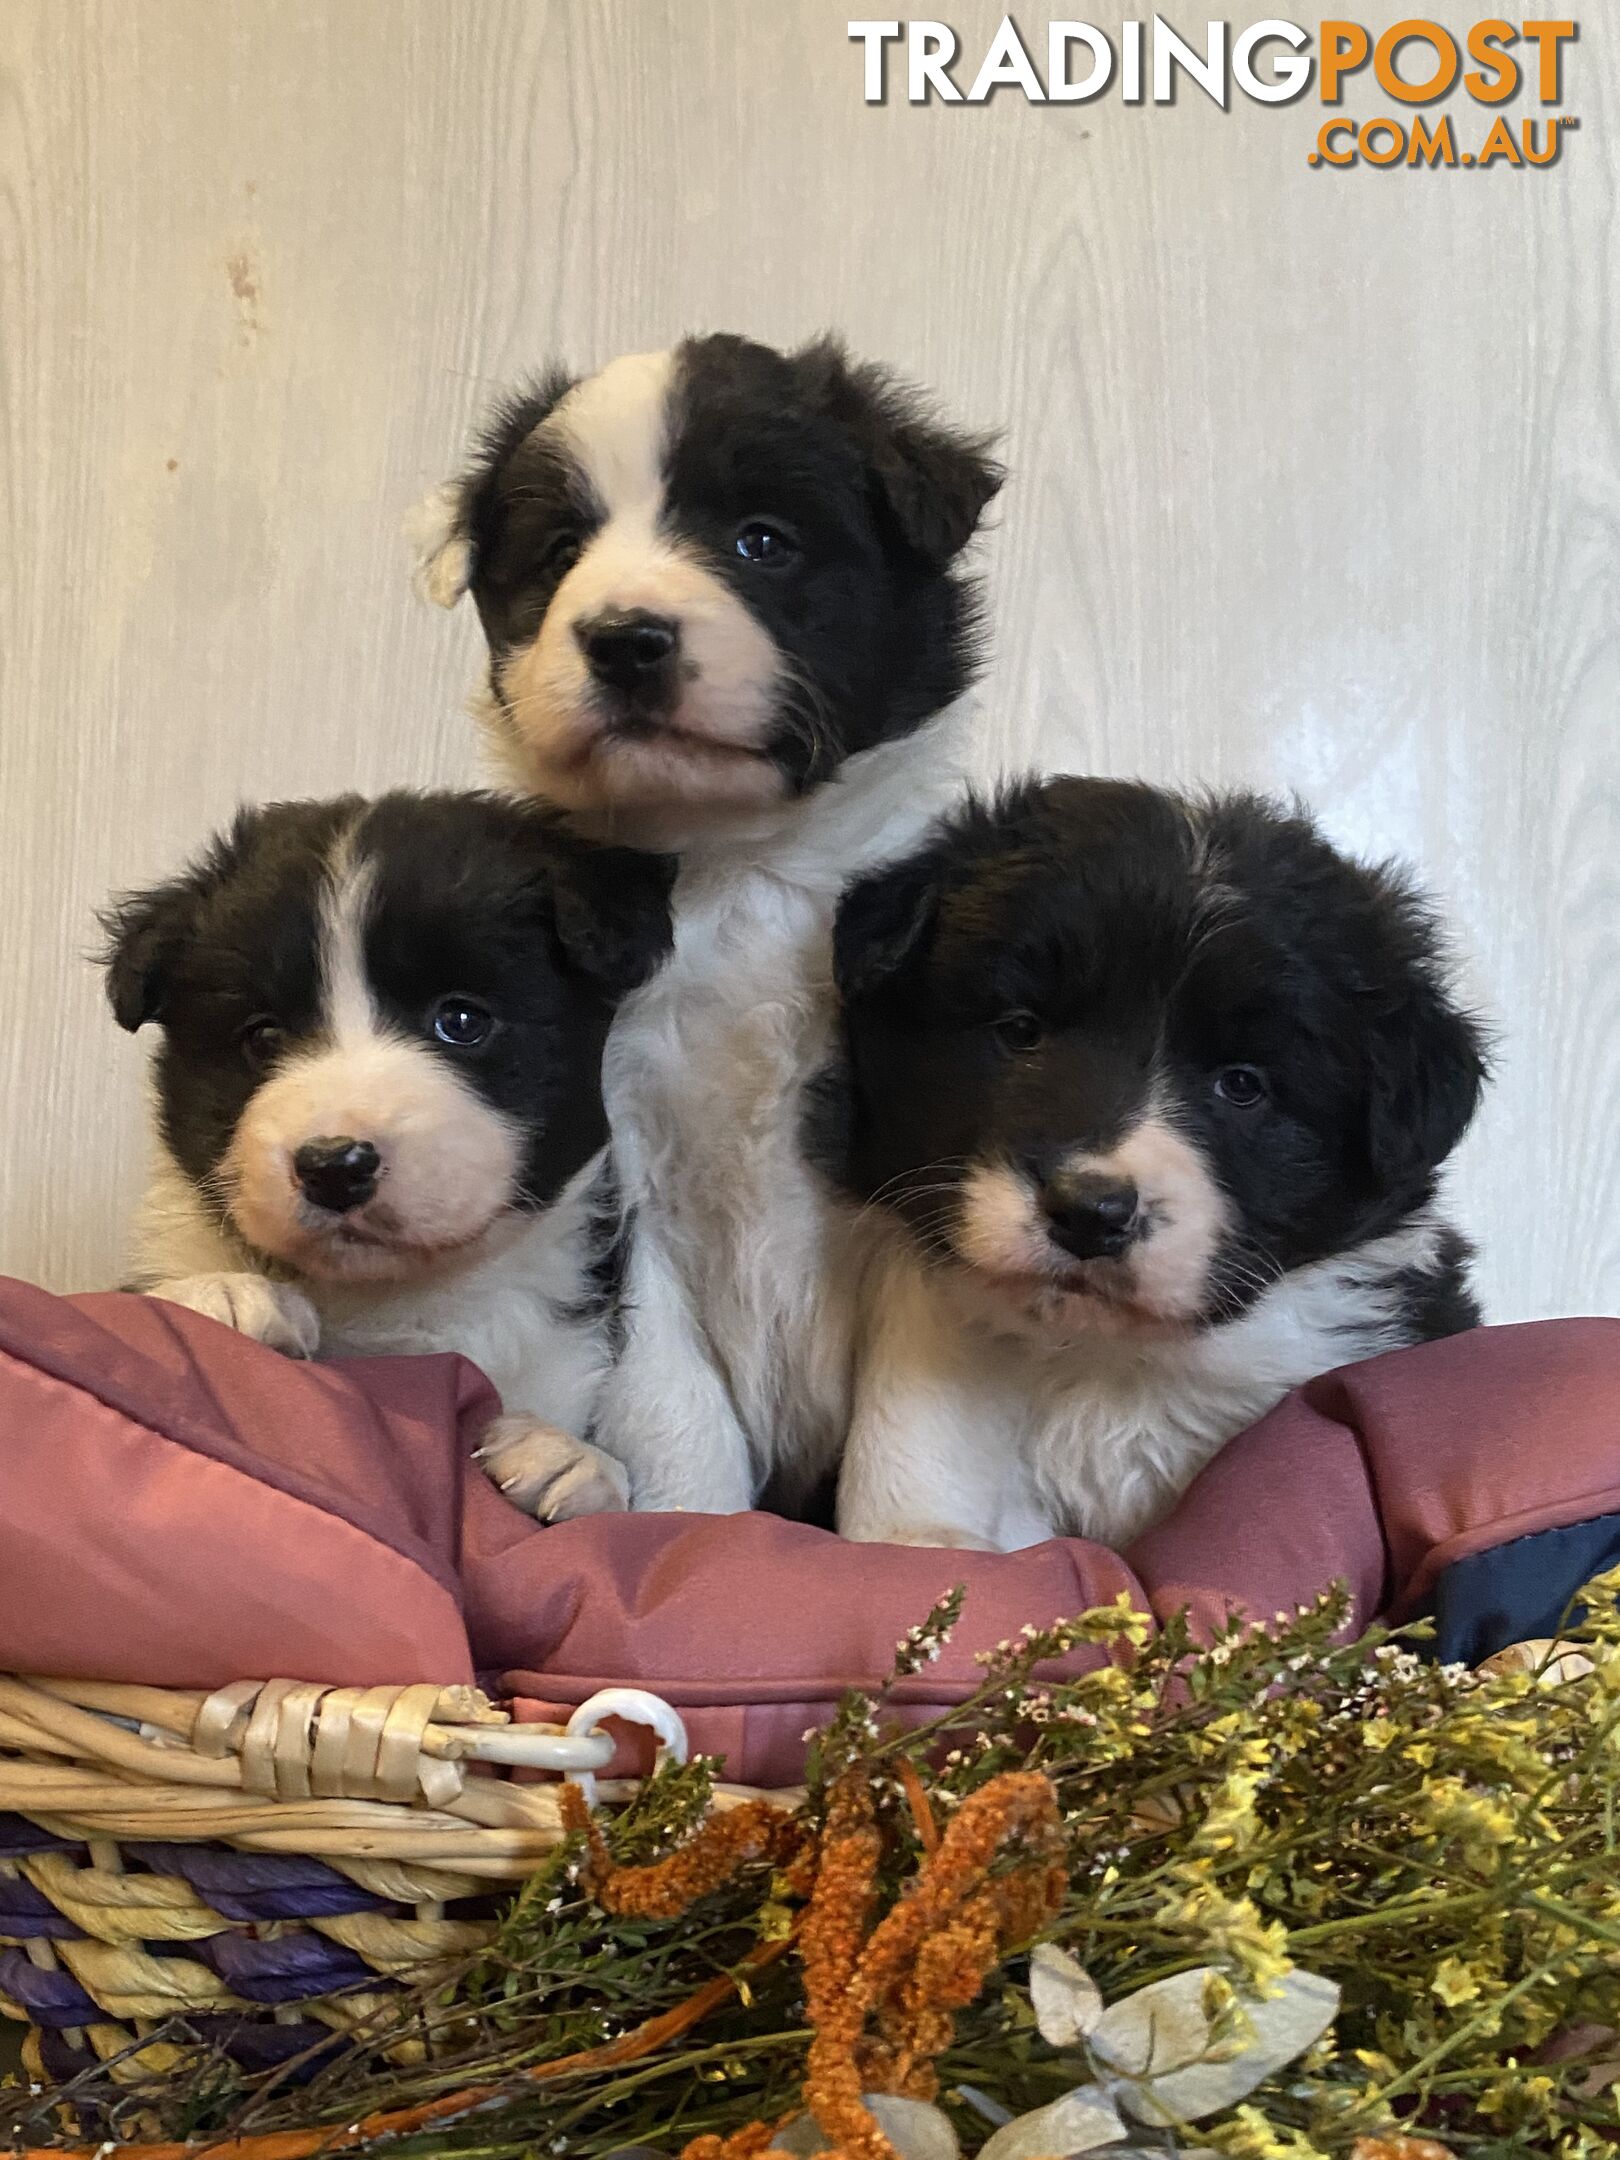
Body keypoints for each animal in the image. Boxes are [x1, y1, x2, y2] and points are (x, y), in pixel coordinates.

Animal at [103, 794, 673, 1520]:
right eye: (263, 1037)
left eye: (462, 1021)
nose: (335, 1166)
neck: (391, 1301)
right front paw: (224, 1295)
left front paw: (569, 1455)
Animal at [414, 341, 1002, 1520]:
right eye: (560, 555)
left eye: (760, 541)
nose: (624, 639)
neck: (736, 872)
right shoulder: (621, 1164)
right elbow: (668, 1395)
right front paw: (682, 1522)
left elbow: (914, 1421)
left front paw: (920, 1546)